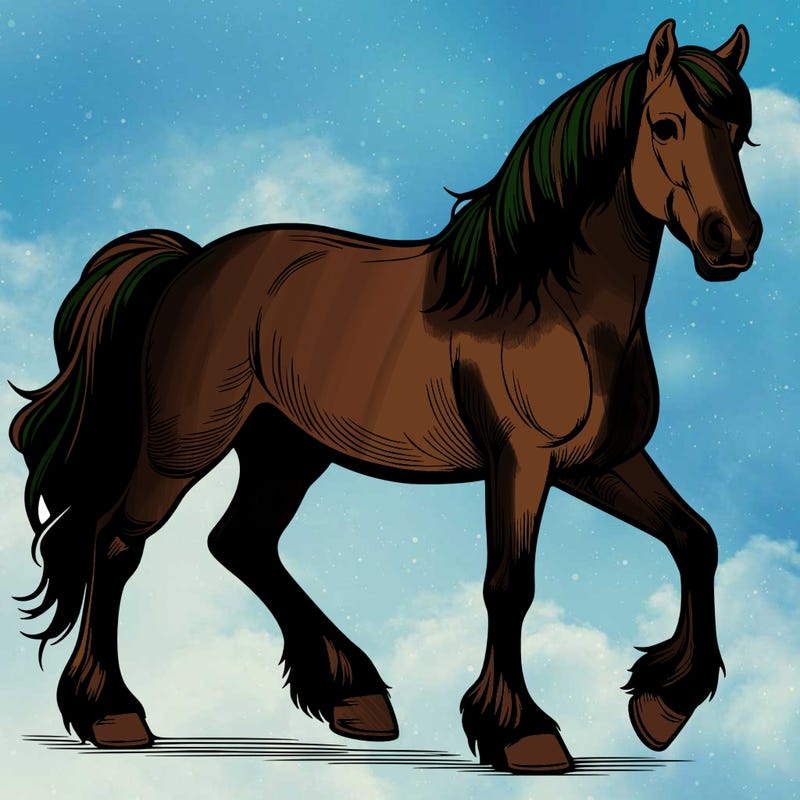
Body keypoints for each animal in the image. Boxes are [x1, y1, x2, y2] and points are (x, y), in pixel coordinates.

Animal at [10, 19, 761, 773]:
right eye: (665, 125)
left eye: (742, 133)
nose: (734, 240)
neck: (551, 302)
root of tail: (188, 264)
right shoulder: (521, 461)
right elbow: (510, 585)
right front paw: (523, 733)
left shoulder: (600, 463)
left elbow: (695, 539)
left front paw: (662, 706)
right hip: (184, 447)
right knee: (115, 542)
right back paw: (113, 714)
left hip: (286, 450)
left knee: (241, 542)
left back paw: (354, 697)